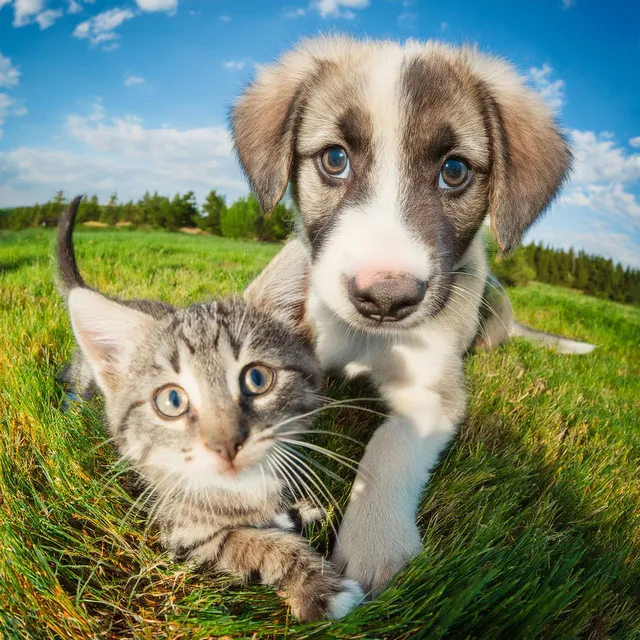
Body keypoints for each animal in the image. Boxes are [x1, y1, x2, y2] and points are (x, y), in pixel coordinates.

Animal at [57, 198, 364, 624]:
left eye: (257, 379)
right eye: (171, 401)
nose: (226, 444)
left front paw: (296, 512)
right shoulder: (182, 531)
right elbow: (255, 543)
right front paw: (317, 586)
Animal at [236, 35, 584, 596]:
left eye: (455, 170)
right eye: (335, 159)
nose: (386, 299)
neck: (365, 340)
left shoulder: (431, 394)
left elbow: (391, 443)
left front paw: (372, 541)